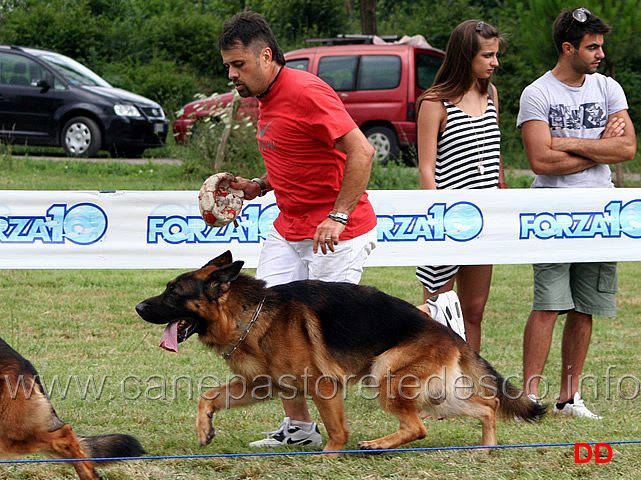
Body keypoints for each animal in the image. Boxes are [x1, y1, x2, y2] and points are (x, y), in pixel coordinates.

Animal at [136, 251, 544, 454]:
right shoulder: (261, 386)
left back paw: (378, 444)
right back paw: (485, 450)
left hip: (386, 376)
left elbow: (337, 429)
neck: (247, 315)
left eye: (174, 292)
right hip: (437, 395)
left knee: (418, 427)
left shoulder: (323, 385)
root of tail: (448, 333)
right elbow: (207, 397)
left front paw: (328, 457)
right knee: (487, 406)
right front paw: (204, 430)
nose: (139, 307)